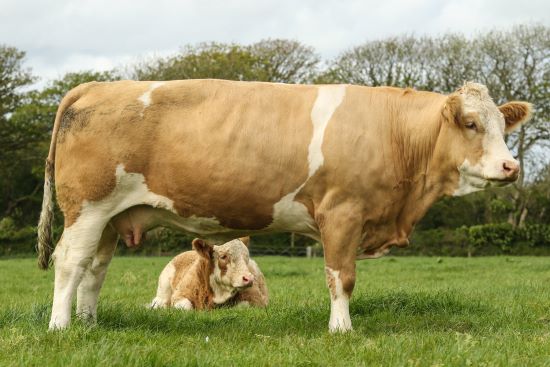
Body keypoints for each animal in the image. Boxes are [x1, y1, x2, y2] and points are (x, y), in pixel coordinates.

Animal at [35, 80, 536, 334]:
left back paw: (89, 323)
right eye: (470, 123)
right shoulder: (341, 212)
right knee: (70, 263)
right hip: (87, 208)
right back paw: (61, 327)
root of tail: (96, 85)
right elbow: (341, 278)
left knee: (94, 270)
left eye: (501, 123)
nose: (511, 166)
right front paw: (341, 330)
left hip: (111, 217)